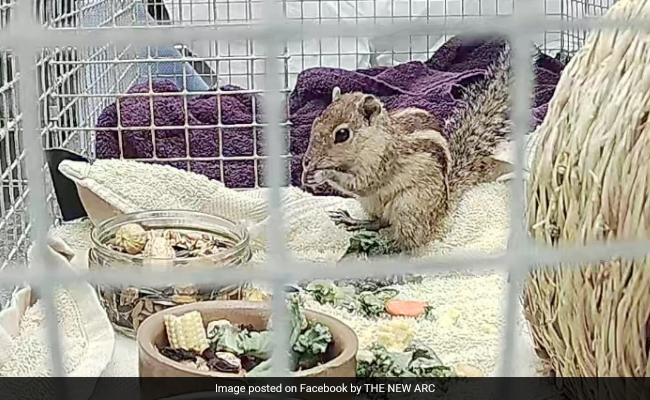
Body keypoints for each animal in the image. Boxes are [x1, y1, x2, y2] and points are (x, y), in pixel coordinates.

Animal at [301, 46, 514, 252]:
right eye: (316, 122)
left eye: (342, 134)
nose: (307, 161)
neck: (374, 140)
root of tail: (442, 210)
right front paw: (308, 175)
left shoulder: (383, 162)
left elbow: (362, 184)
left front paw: (322, 174)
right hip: (372, 204)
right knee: (379, 222)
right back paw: (354, 221)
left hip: (408, 207)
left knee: (409, 241)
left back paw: (382, 247)